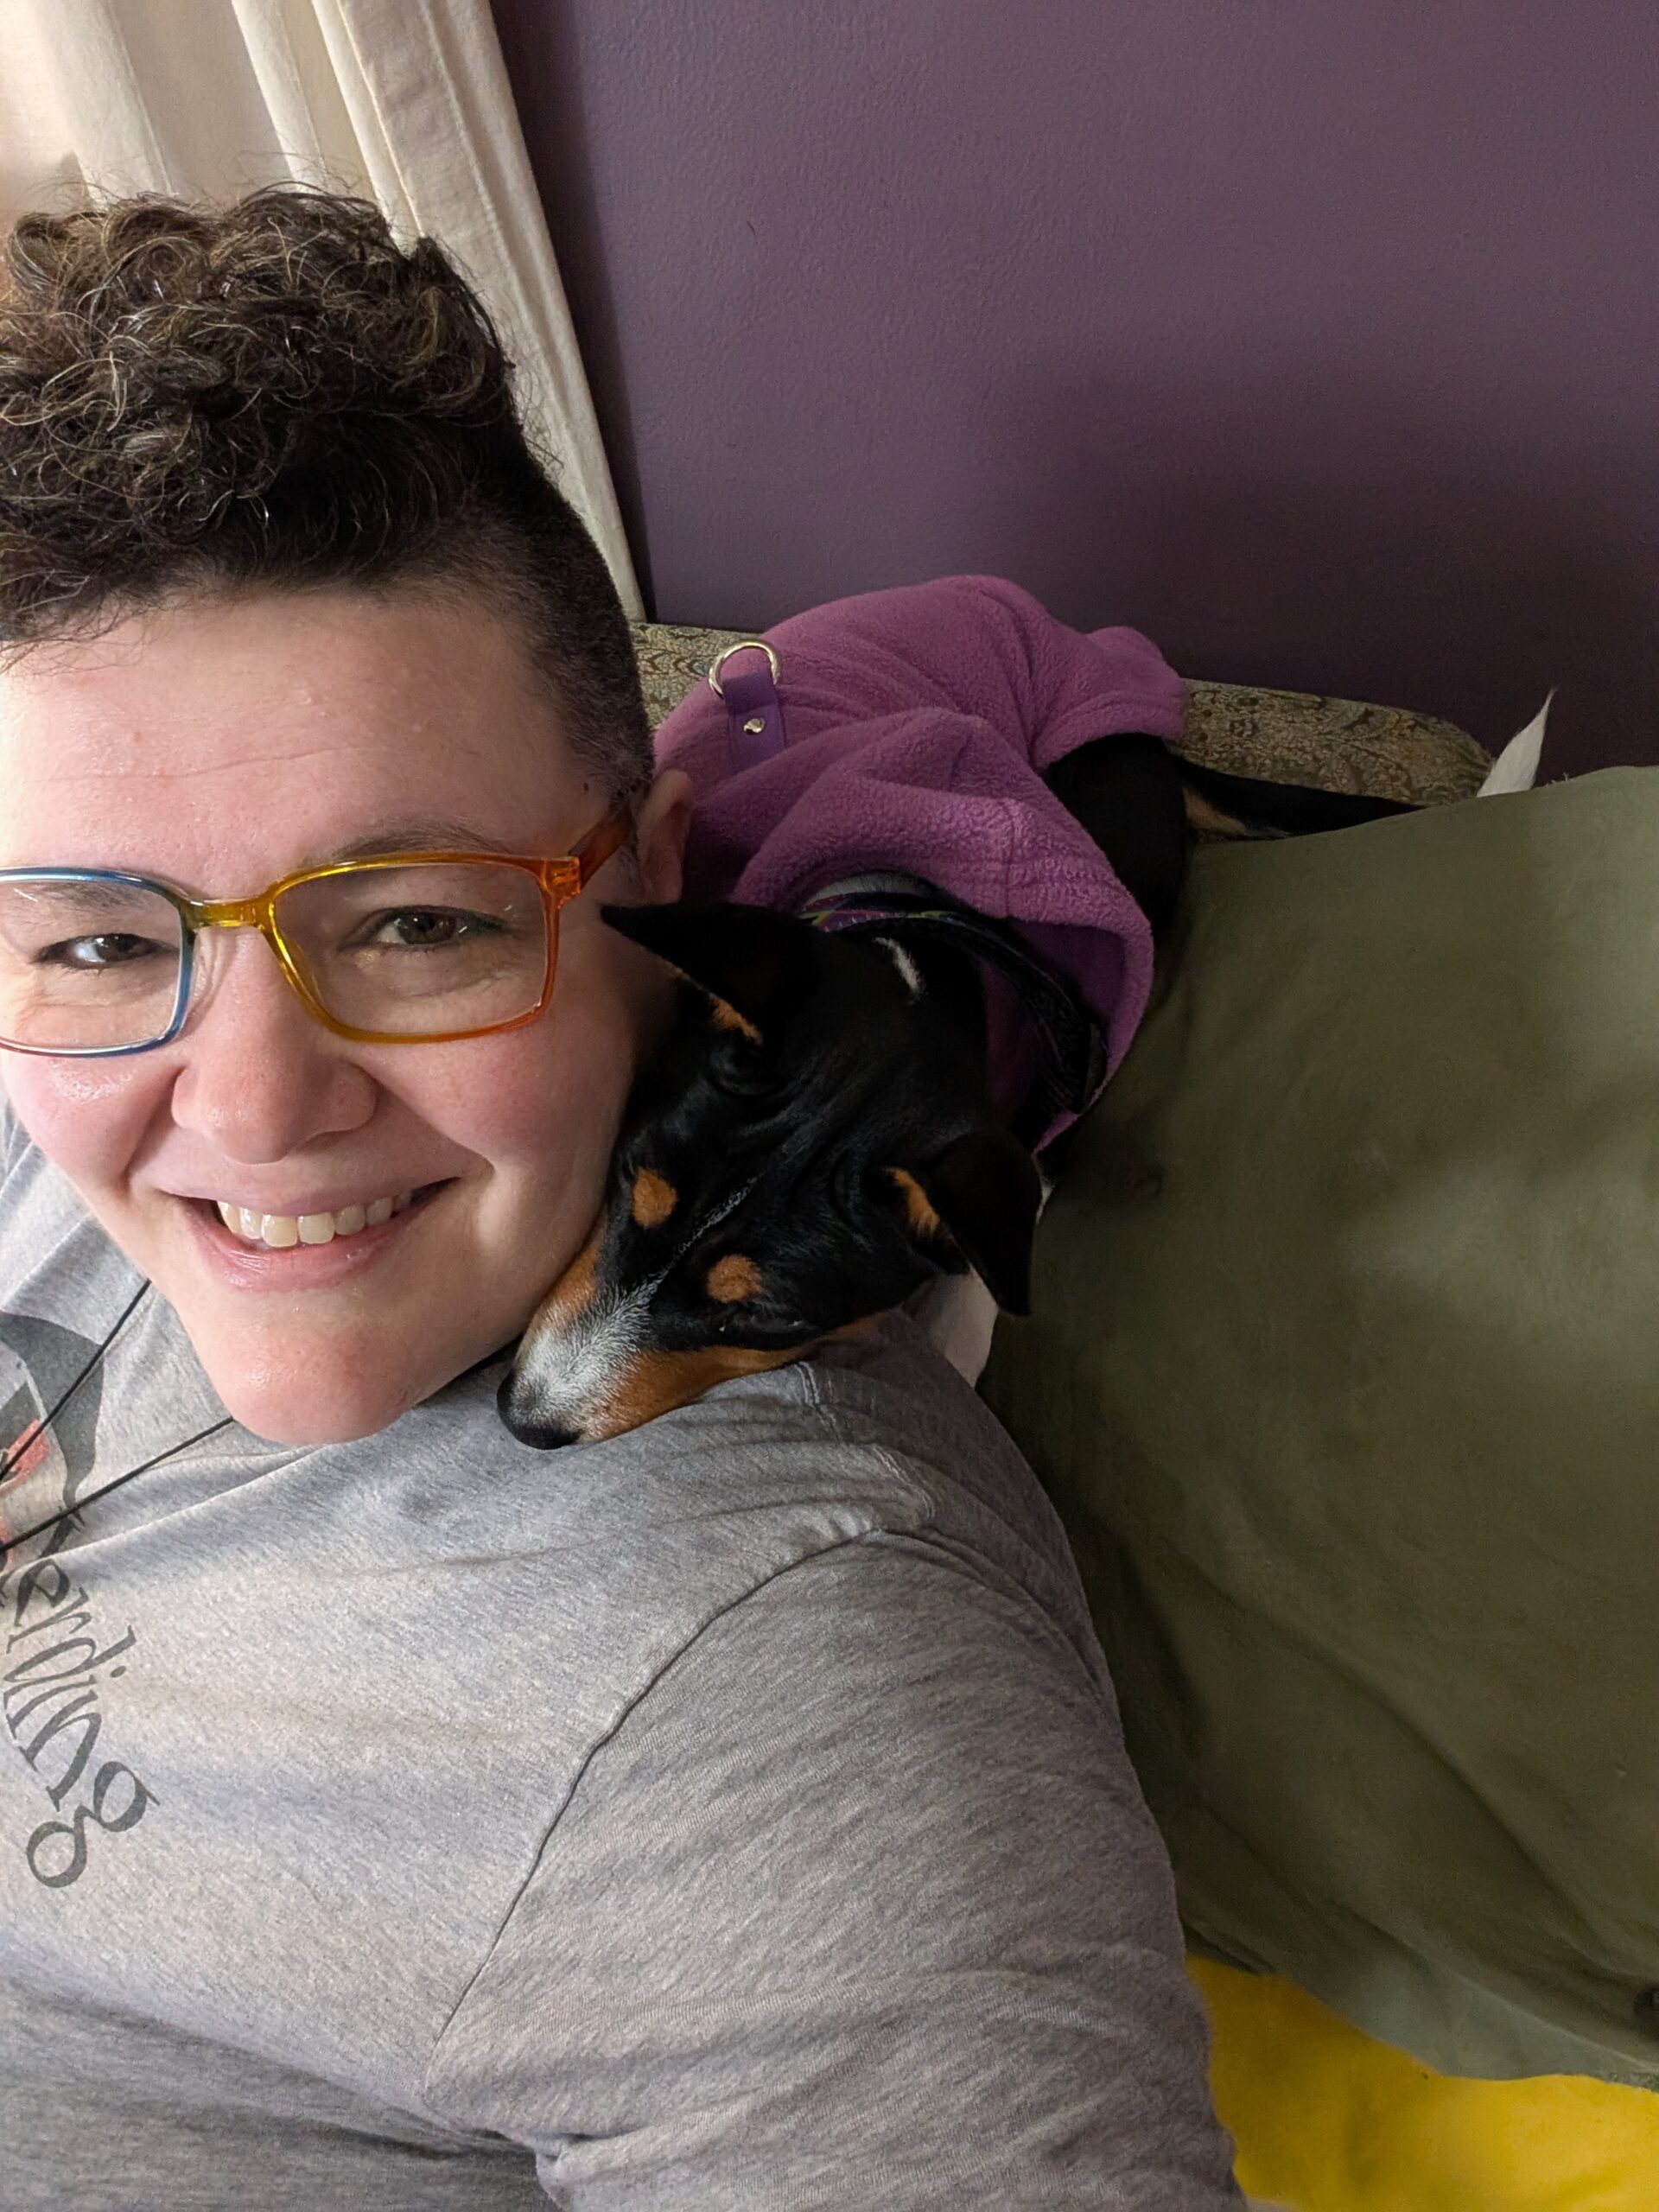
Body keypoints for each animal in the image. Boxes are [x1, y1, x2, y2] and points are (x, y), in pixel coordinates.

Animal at [497, 737, 1410, 1447]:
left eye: (765, 1322)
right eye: (626, 1178)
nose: (524, 1418)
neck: (926, 972)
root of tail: (1145, 746)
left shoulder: (1042, 1132)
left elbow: (993, 1248)